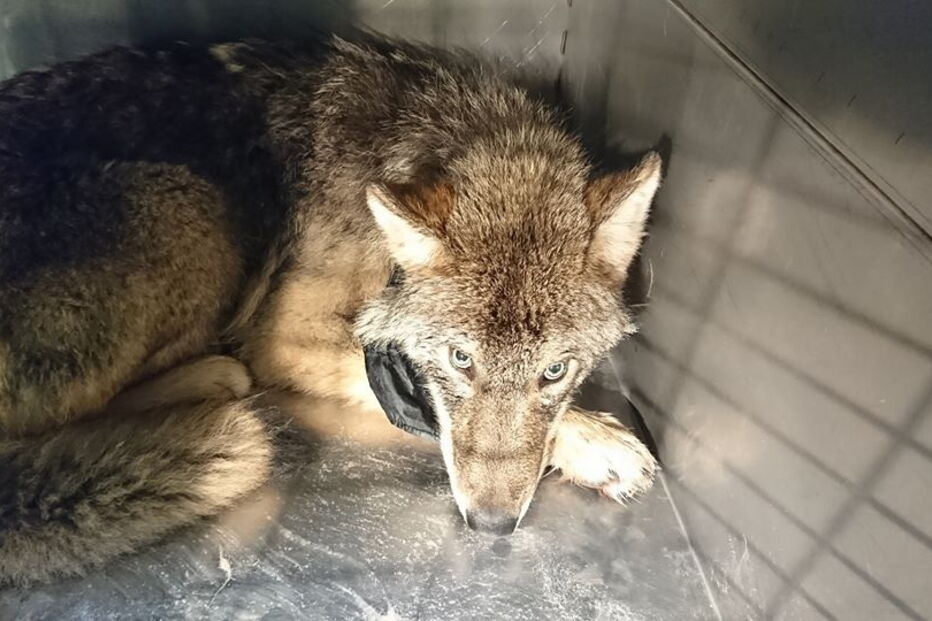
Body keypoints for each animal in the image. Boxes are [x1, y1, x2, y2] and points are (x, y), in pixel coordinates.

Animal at [0, 34, 661, 585]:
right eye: (460, 359)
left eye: (555, 371)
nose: (491, 525)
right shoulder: (284, 336)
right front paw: (594, 442)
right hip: (188, 202)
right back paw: (215, 377)